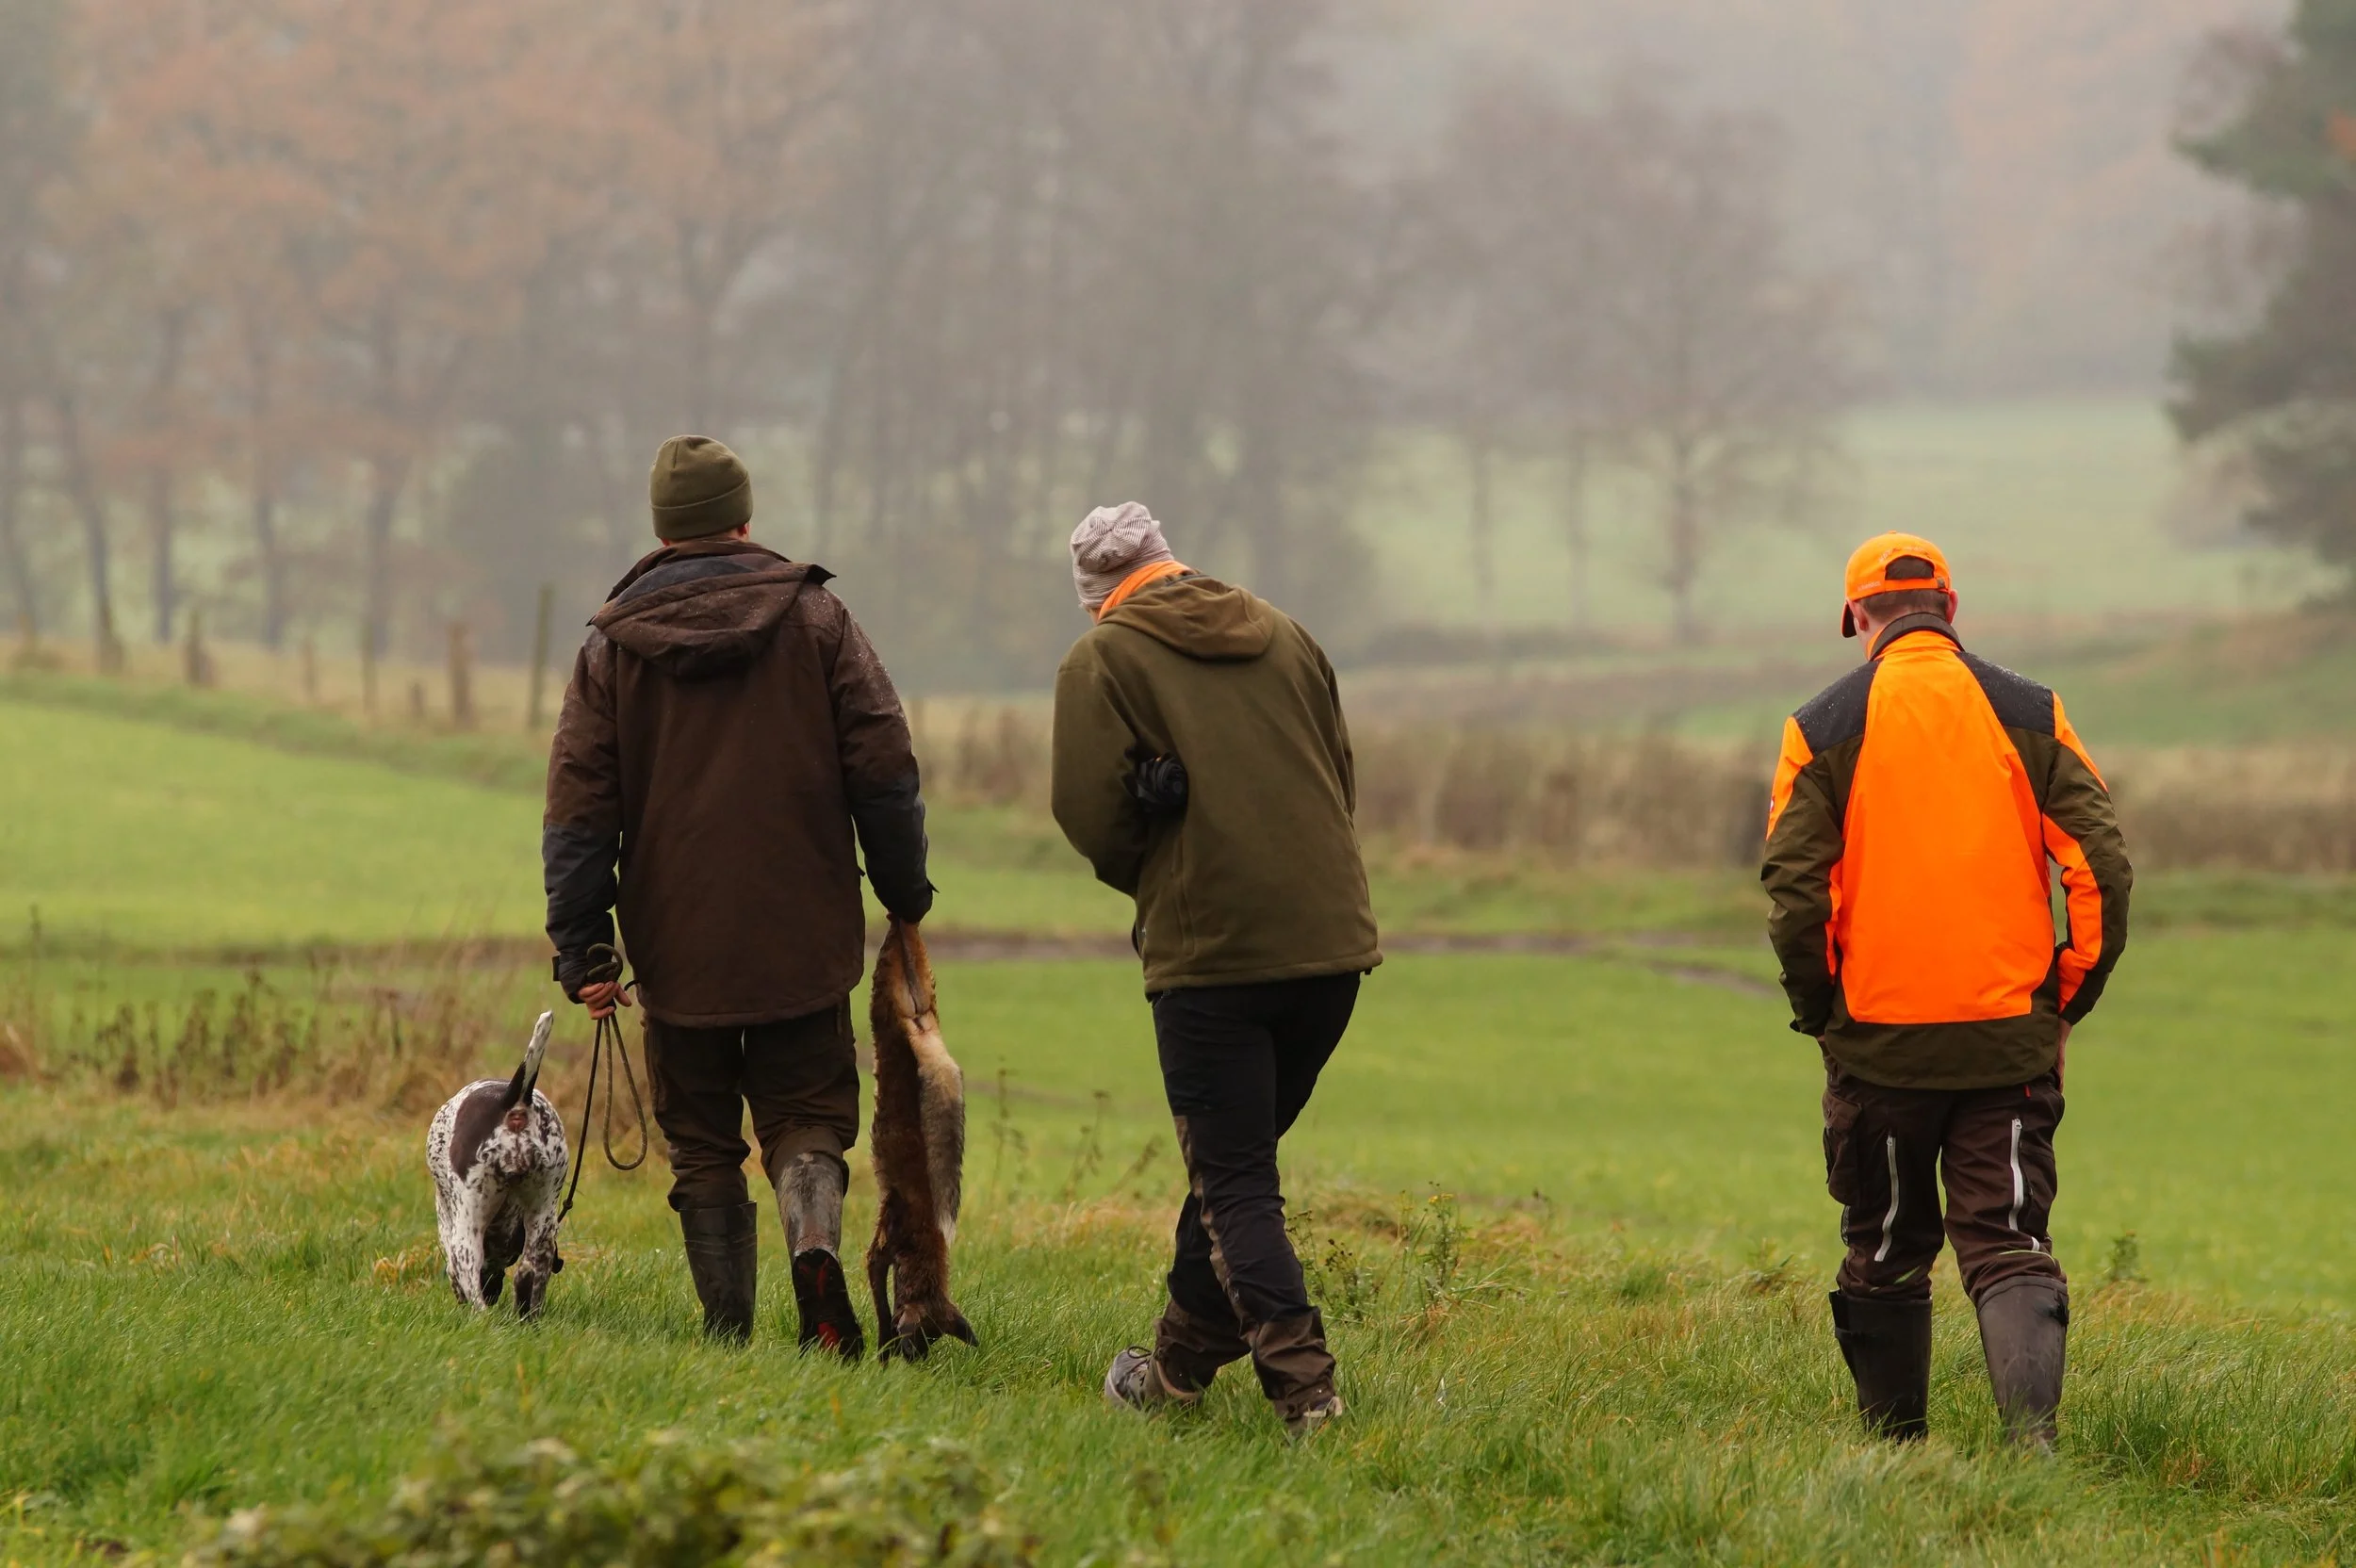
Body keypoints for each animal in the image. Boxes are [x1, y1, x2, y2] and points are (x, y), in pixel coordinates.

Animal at [427, 1010, 568, 1317]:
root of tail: (514, 1103)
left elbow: (455, 1276)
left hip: (466, 1230)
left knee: (470, 1281)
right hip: (543, 1213)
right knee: (528, 1271)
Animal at [865, 919, 976, 1360]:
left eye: (931, 1341)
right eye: (917, 1342)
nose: (914, 1363)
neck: (924, 1234)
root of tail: (919, 1026)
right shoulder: (879, 1251)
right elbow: (880, 1306)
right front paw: (879, 1349)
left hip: (915, 989)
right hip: (885, 998)